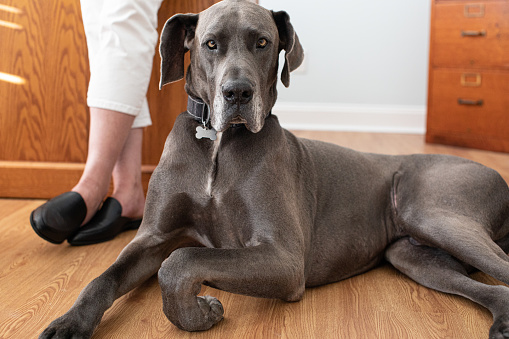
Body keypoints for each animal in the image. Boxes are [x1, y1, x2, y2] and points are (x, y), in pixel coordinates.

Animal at [39, 0, 508, 338]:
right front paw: (68, 323)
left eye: (262, 42)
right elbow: (105, 277)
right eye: (210, 44)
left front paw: (197, 310)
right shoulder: (152, 237)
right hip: (411, 254)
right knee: (494, 287)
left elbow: (180, 260)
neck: (218, 144)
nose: (237, 92)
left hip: (433, 214)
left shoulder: (283, 259)